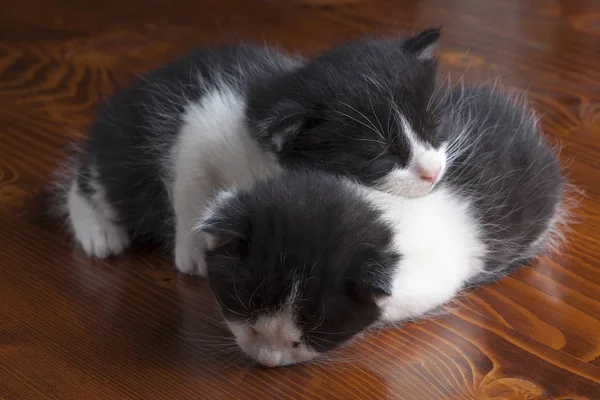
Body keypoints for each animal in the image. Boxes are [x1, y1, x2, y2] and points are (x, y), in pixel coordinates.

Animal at [56, 28, 448, 276]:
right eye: (381, 155)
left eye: (431, 128)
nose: (433, 172)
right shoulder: (200, 123)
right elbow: (189, 187)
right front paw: (193, 251)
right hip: (122, 150)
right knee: (90, 183)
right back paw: (98, 231)